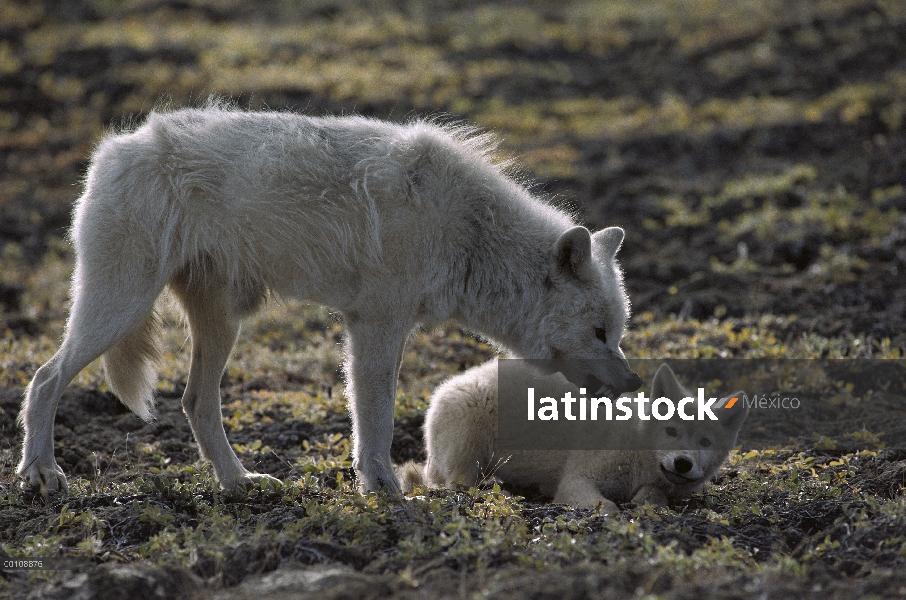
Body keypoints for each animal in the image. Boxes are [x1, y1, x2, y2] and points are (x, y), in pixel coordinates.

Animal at [23, 103, 644, 494]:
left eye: (616, 335)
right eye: (598, 333)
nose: (634, 384)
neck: (468, 233)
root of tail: (112, 148)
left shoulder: (380, 328)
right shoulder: (374, 327)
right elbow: (377, 421)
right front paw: (385, 489)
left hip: (221, 326)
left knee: (195, 403)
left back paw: (238, 484)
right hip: (119, 308)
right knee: (45, 379)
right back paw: (41, 475)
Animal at [406, 360, 744, 510]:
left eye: (705, 442)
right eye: (671, 430)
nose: (683, 463)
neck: (637, 448)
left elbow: (653, 496)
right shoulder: (576, 481)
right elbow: (607, 507)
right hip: (470, 438)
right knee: (455, 484)